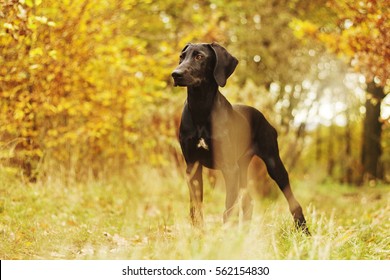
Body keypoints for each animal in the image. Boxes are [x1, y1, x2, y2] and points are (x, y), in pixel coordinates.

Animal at [172, 42, 310, 234]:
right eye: (181, 56)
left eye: (199, 57)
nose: (175, 74)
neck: (201, 109)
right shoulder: (193, 166)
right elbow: (196, 206)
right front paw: (198, 233)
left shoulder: (229, 168)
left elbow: (229, 207)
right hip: (242, 167)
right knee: (248, 201)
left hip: (273, 163)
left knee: (292, 200)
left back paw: (303, 230)